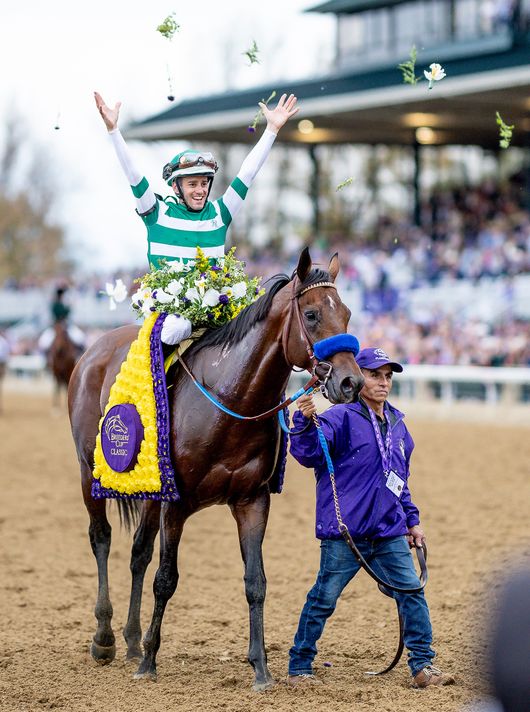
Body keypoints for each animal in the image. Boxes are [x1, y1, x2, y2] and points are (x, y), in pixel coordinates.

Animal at [67, 249, 364, 688]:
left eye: (345, 313)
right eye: (311, 315)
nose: (350, 383)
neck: (230, 402)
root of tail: (93, 350)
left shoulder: (252, 501)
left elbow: (255, 582)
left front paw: (261, 668)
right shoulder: (177, 504)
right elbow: (165, 579)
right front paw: (150, 663)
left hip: (150, 491)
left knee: (138, 552)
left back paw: (133, 639)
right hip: (90, 472)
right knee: (101, 538)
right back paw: (105, 637)